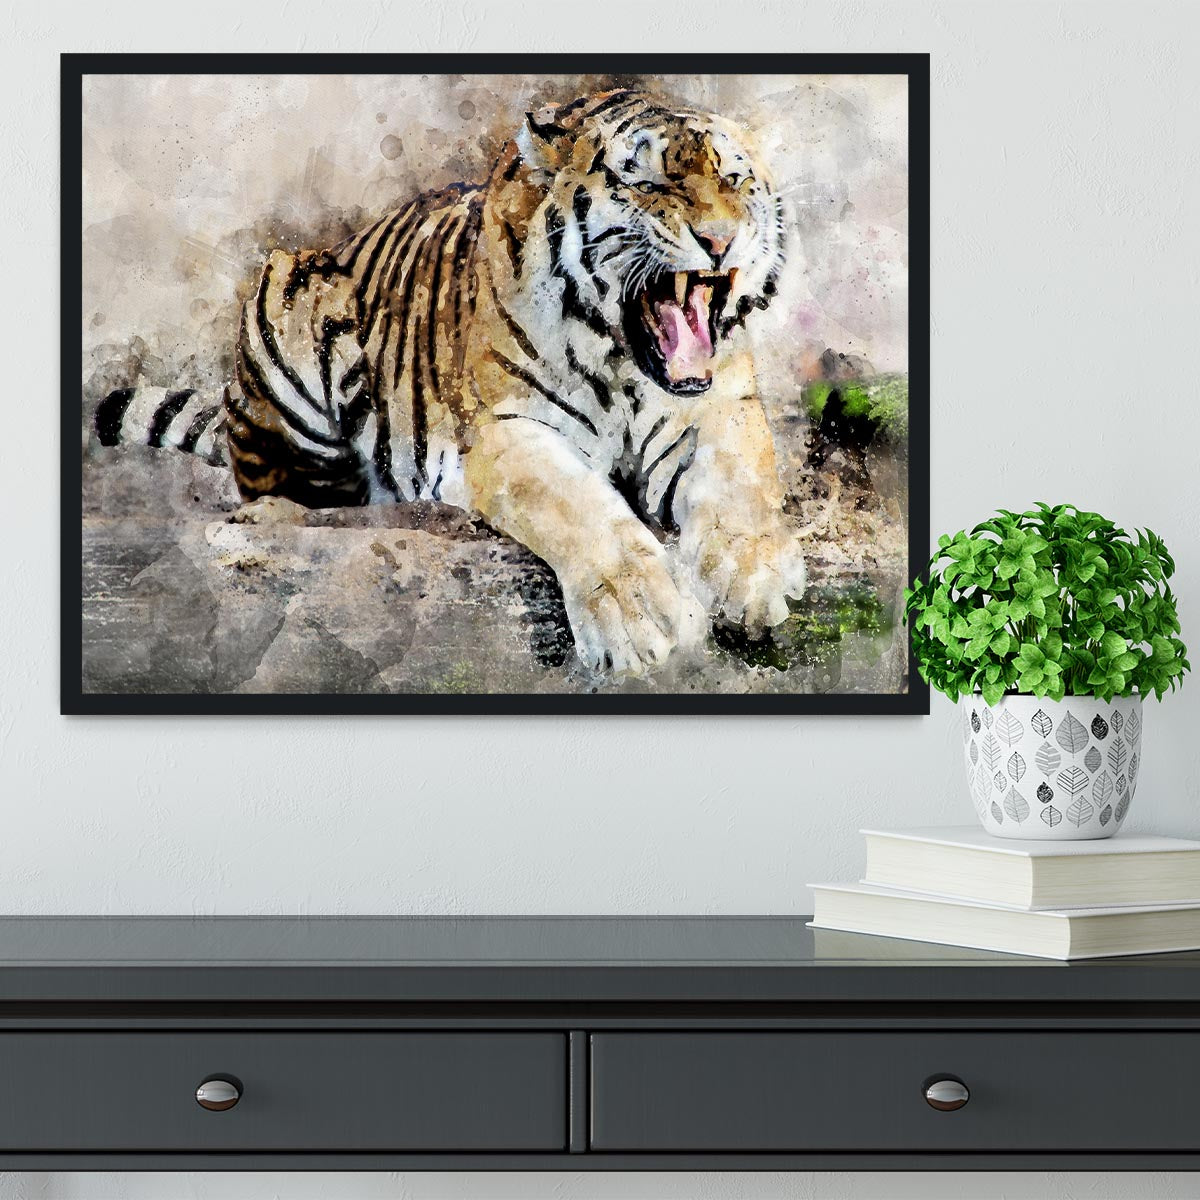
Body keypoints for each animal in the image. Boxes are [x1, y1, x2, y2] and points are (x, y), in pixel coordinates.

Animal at [94, 88, 806, 676]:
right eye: (651, 179)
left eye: (735, 177)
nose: (722, 239)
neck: (624, 363)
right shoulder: (509, 433)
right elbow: (581, 511)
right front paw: (642, 617)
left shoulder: (719, 407)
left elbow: (743, 483)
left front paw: (755, 577)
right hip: (285, 297)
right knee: (292, 487)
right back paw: (280, 513)